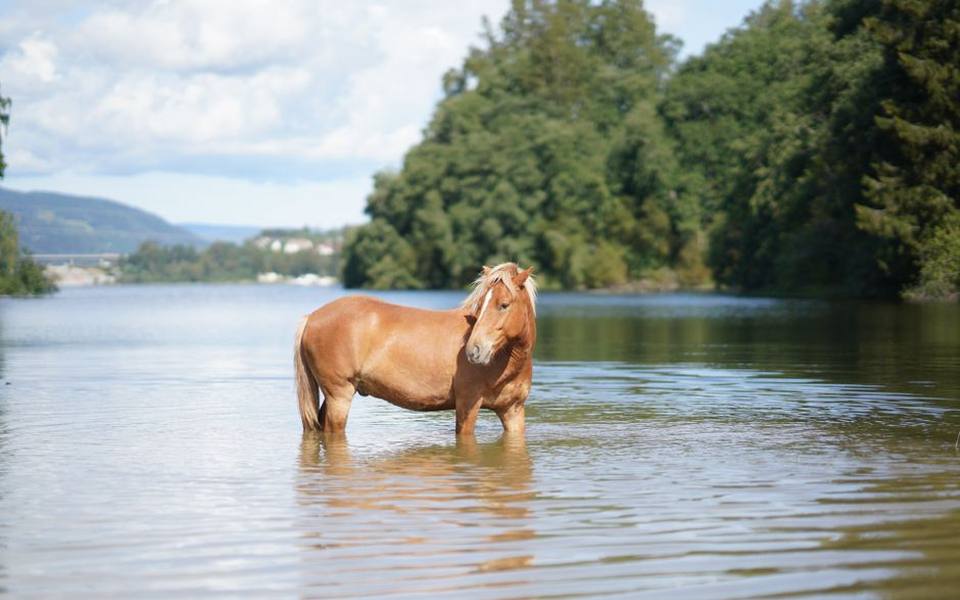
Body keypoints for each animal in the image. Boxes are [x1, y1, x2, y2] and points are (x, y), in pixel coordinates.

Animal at [294, 263, 537, 436]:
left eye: (504, 305)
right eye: (480, 304)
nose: (473, 351)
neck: (506, 361)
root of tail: (312, 317)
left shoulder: (513, 411)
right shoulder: (467, 405)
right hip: (339, 396)